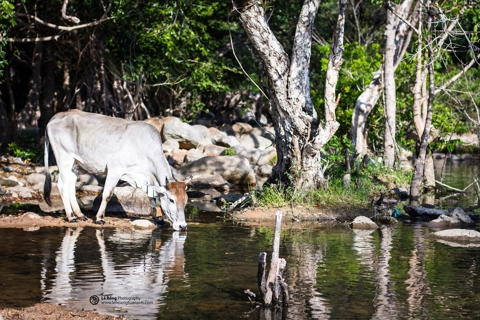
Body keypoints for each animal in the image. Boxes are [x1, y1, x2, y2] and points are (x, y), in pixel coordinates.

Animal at [43, 110, 188, 230]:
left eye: (186, 201)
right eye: (172, 200)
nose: (182, 226)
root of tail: (56, 116)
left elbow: (152, 199)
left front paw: (158, 218)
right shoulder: (115, 170)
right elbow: (107, 195)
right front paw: (99, 218)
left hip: (76, 163)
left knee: (71, 185)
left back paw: (79, 215)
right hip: (64, 158)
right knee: (62, 185)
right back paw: (71, 216)